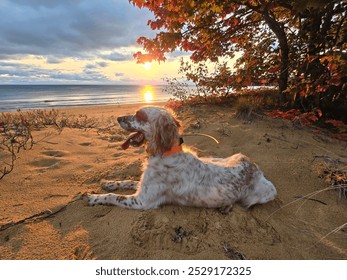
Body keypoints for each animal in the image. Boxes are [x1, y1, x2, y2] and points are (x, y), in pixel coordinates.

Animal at [87, 106, 278, 213]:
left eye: (139, 115)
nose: (118, 118)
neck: (165, 152)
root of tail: (256, 168)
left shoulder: (142, 200)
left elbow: (114, 197)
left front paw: (94, 197)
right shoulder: (143, 186)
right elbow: (128, 181)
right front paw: (109, 182)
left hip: (265, 193)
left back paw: (226, 206)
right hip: (223, 157)